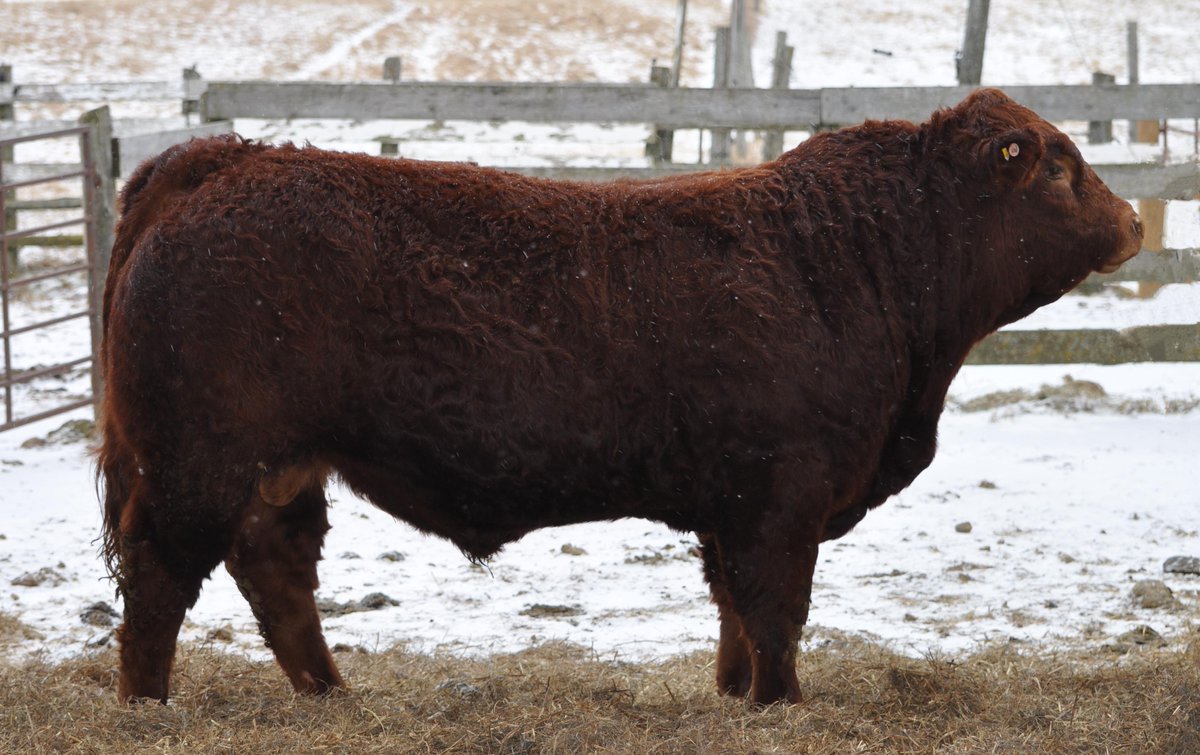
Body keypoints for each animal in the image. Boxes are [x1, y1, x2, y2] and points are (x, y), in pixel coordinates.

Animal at [98, 88, 1142, 706]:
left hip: (278, 469)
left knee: (275, 572)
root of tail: (228, 157)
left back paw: (331, 693)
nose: (1134, 220)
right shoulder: (782, 497)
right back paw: (147, 706)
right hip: (197, 461)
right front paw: (783, 702)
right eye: (1055, 164)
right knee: (159, 575)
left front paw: (736, 697)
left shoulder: (734, 505)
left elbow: (734, 612)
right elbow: (777, 609)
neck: (851, 254)